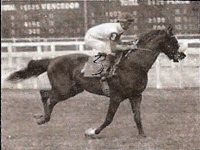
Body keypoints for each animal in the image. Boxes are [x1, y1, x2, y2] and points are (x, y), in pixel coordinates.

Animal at [7, 25, 186, 137]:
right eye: (174, 41)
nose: (182, 55)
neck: (135, 64)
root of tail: (53, 59)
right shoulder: (116, 96)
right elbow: (109, 118)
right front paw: (92, 132)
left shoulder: (136, 95)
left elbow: (137, 117)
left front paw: (142, 135)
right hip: (64, 89)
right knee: (47, 96)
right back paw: (44, 118)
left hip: (73, 89)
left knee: (45, 94)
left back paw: (42, 117)